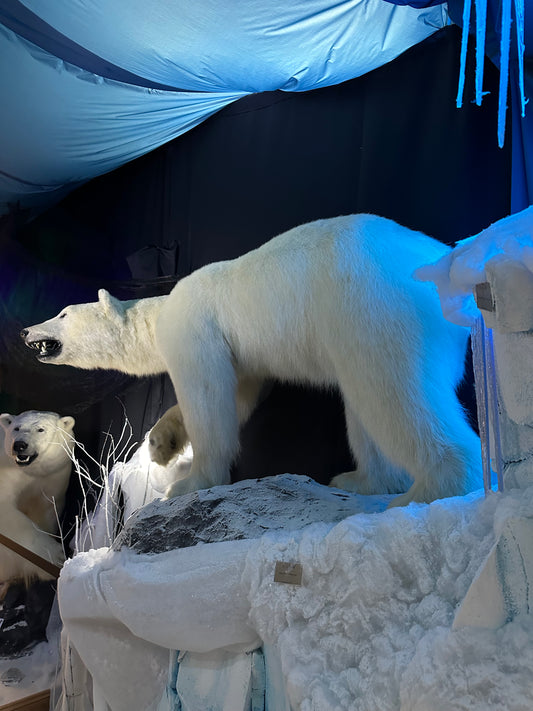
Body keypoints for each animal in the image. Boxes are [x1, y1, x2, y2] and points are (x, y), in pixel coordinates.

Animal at [0, 411, 75, 596]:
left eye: (41, 429)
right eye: (16, 428)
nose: (19, 445)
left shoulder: (53, 476)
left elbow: (45, 510)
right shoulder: (6, 473)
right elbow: (9, 514)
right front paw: (56, 556)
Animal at [21, 214, 481, 505]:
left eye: (62, 313)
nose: (26, 332)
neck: (161, 309)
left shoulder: (195, 329)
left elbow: (208, 396)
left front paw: (187, 483)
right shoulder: (240, 356)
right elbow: (239, 394)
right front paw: (161, 443)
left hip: (371, 301)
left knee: (394, 392)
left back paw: (430, 490)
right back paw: (362, 480)